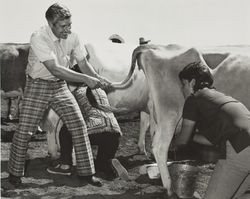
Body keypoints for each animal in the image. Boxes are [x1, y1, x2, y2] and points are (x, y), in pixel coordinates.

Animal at [110, 44, 250, 196]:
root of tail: (152, 47)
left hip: (157, 112)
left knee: (152, 133)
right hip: (170, 112)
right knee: (160, 146)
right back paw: (169, 187)